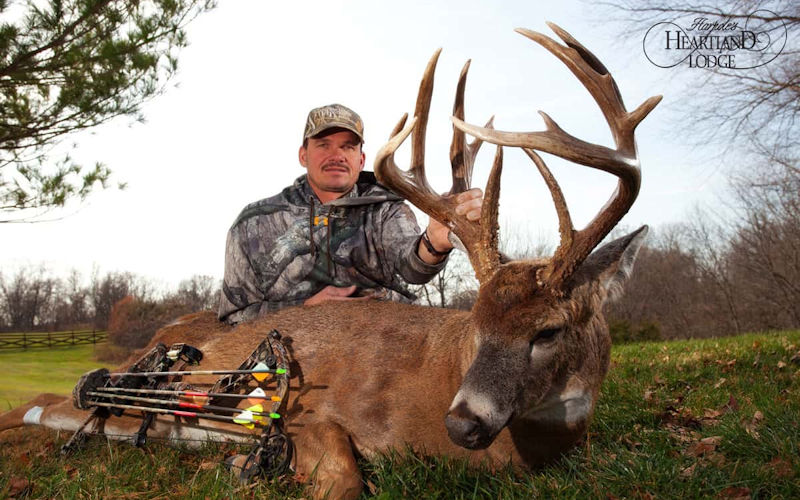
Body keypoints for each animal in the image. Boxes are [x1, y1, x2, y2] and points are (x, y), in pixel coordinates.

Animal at [0, 23, 660, 500]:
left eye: (547, 330)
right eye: (478, 325)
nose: (464, 424)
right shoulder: (307, 412)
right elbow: (343, 476)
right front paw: (239, 465)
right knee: (44, 404)